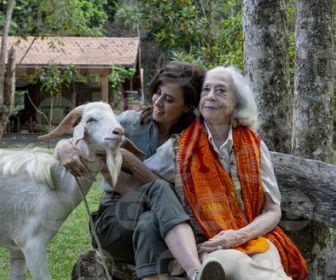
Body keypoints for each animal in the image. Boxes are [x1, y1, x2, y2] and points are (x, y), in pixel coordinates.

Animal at [0, 101, 126, 278]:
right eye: (90, 120)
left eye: (116, 118)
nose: (119, 132)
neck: (56, 185)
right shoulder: (33, 246)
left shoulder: (16, 249)